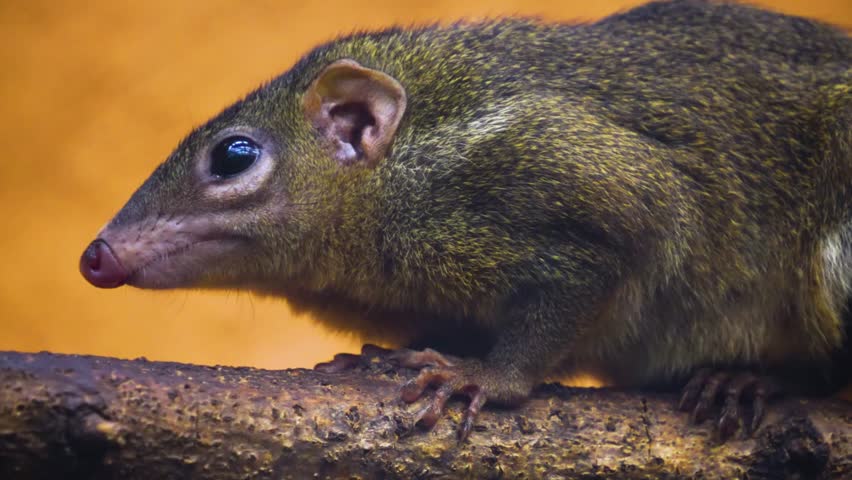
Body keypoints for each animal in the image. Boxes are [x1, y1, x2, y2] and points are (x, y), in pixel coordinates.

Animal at [80, 0, 851, 441]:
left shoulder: (580, 186)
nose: (97, 255)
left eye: (233, 155)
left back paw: (756, 381)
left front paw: (484, 379)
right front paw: (380, 357)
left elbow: (588, 276)